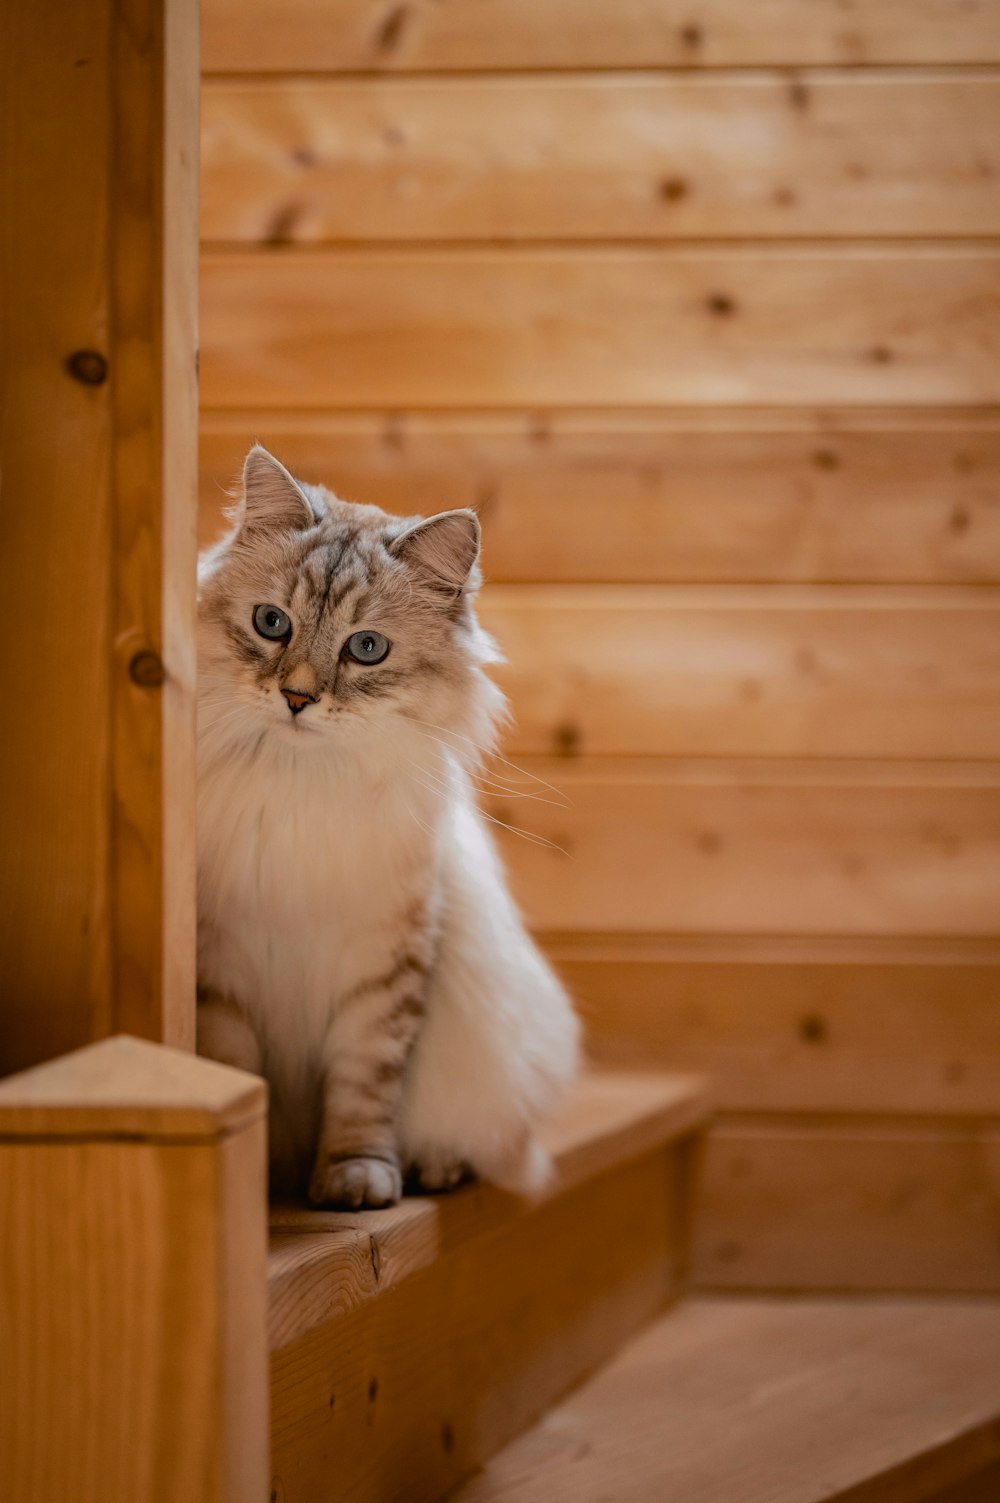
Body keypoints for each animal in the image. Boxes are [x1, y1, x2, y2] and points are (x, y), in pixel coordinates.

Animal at [193, 444, 577, 1208]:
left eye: (366, 648)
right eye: (271, 623)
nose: (296, 698)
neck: (302, 784)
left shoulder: (384, 965)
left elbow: (364, 1091)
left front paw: (356, 1181)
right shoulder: (221, 970)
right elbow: (243, 1078)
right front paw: (260, 1189)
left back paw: (435, 1168)